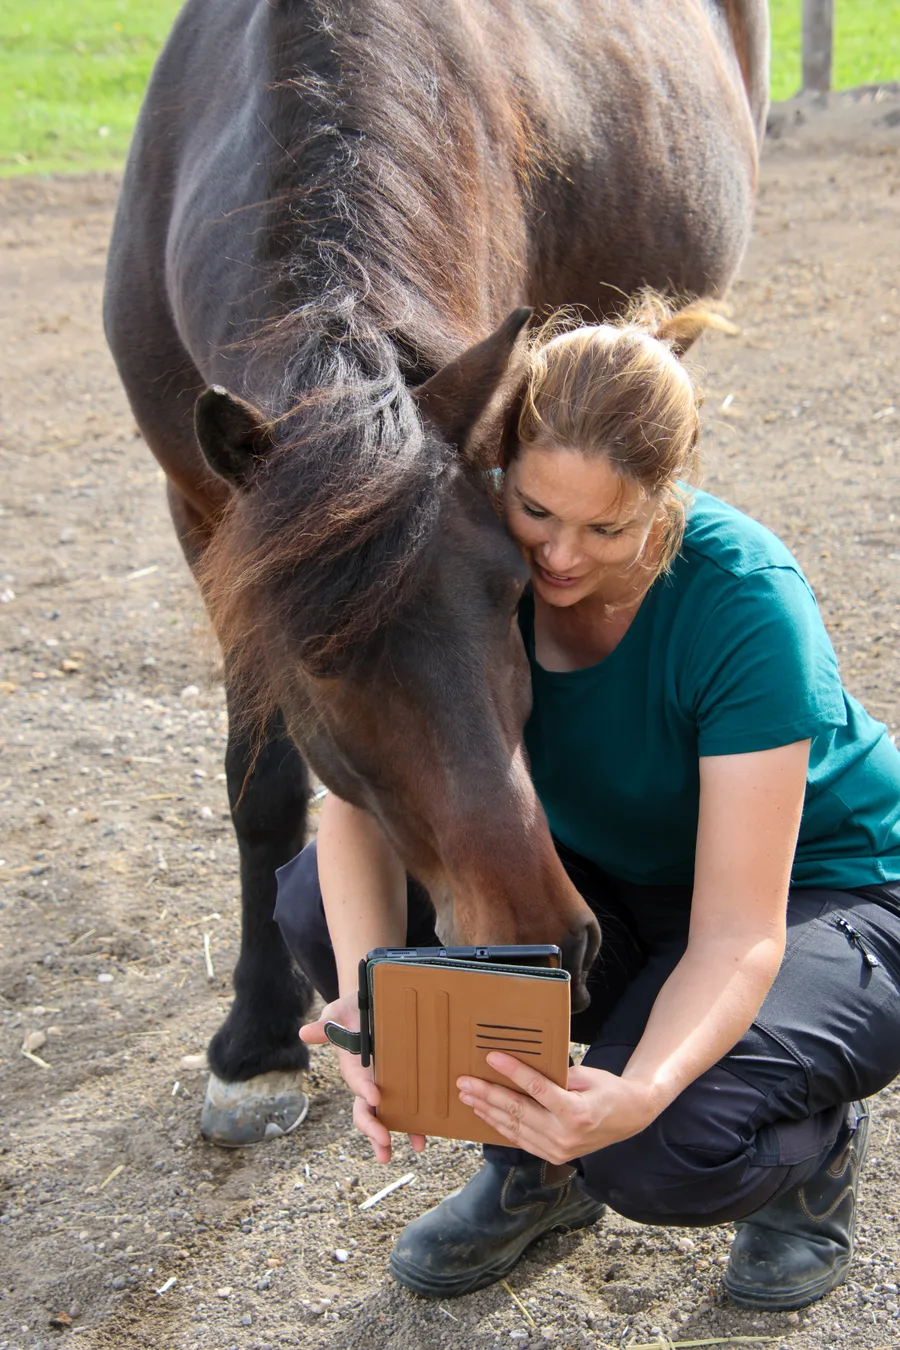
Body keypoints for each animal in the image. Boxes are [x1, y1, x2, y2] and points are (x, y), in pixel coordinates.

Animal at [103, 0, 768, 1144]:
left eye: (516, 598)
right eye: (317, 661)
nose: (545, 941)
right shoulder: (202, 515)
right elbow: (261, 786)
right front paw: (257, 1043)